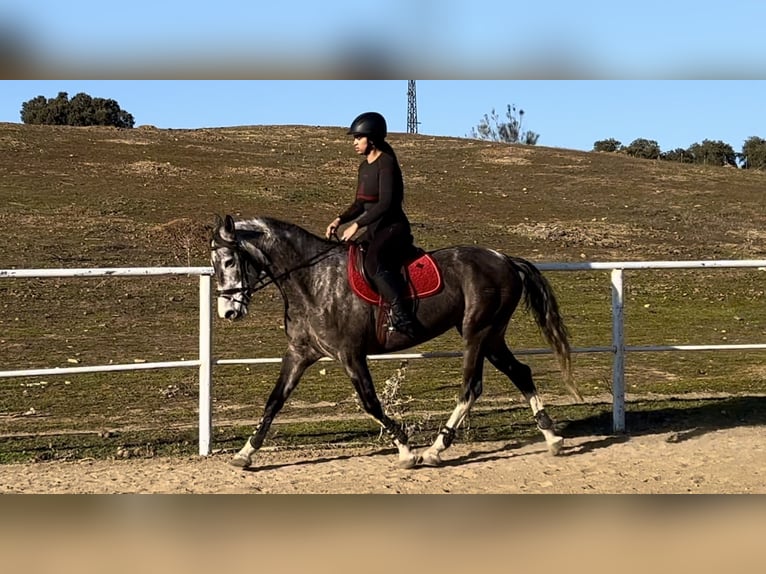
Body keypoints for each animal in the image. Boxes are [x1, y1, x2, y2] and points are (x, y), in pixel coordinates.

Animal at [210, 214, 584, 470]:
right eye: (213, 264)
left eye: (228, 261)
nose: (228, 311)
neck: (312, 281)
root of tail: (504, 259)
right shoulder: (300, 354)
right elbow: (274, 402)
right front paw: (244, 454)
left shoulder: (351, 354)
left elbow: (370, 403)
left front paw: (406, 451)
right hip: (492, 337)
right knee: (520, 372)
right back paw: (553, 438)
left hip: (477, 333)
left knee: (471, 387)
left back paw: (435, 449)